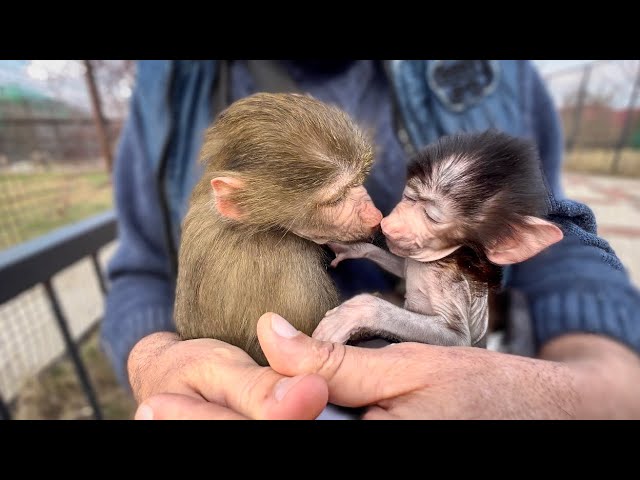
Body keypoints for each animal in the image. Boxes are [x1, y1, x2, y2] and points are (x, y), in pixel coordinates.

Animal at [316, 131, 564, 348]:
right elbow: (402, 267)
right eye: (409, 197)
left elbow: (457, 339)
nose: (389, 224)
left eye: (431, 216)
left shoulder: (447, 282)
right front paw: (354, 249)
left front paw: (357, 312)